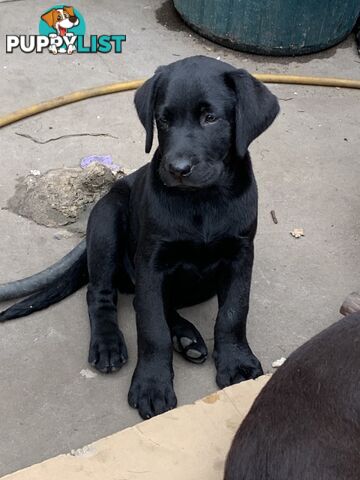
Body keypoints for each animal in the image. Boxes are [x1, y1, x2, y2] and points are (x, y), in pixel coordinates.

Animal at [0, 56, 278, 418]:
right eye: (163, 119)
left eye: (211, 118)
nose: (177, 168)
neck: (202, 200)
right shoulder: (151, 261)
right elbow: (151, 326)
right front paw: (152, 385)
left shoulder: (240, 254)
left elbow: (233, 312)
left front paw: (237, 363)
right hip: (106, 222)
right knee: (103, 295)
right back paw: (109, 343)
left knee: (154, 303)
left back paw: (186, 337)